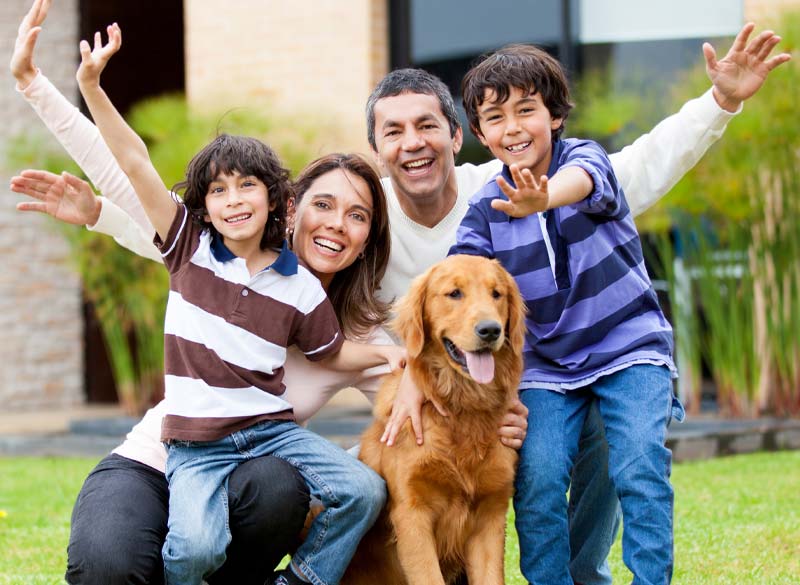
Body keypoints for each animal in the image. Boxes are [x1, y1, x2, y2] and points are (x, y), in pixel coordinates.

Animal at [342, 254, 524, 584]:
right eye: (454, 293)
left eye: (497, 294)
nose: (490, 330)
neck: (462, 408)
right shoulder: (412, 513)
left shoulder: (490, 513)